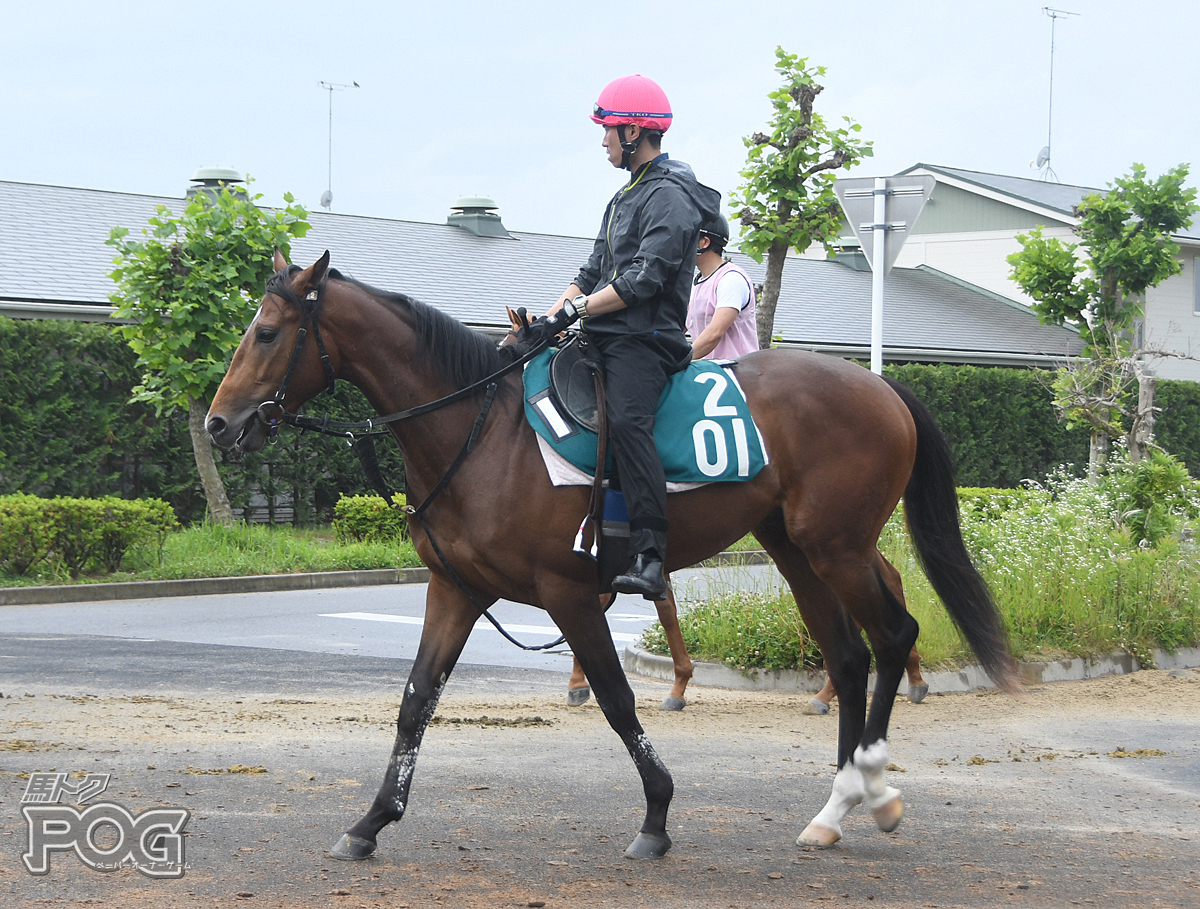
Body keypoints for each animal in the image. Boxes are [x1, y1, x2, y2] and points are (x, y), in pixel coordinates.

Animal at [206, 253, 1012, 863]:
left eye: (268, 332)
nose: (219, 424)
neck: (483, 431)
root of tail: (881, 384)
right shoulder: (456, 589)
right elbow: (415, 701)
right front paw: (371, 821)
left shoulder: (568, 592)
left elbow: (618, 700)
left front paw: (656, 817)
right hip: (797, 549)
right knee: (847, 657)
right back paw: (834, 808)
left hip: (837, 546)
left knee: (893, 634)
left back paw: (870, 783)